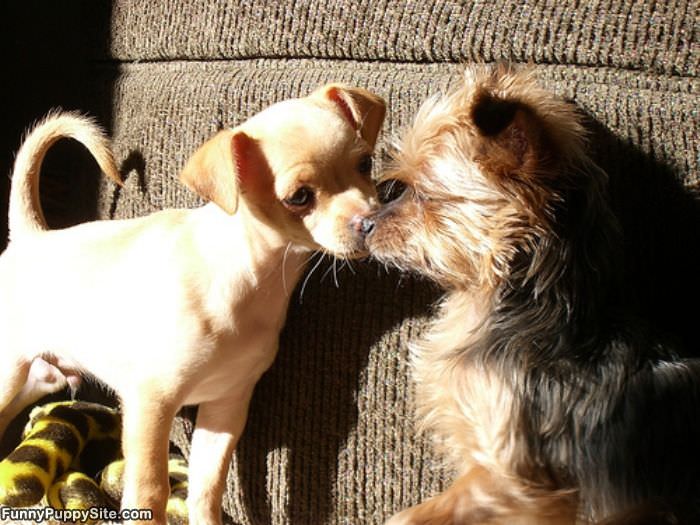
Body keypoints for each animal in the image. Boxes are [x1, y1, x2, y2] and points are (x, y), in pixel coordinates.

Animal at [0, 84, 386, 520]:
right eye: (300, 197)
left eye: (365, 163)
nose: (371, 222)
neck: (251, 278)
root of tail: (31, 237)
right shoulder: (151, 402)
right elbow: (150, 490)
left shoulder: (226, 409)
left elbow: (207, 487)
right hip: (8, 367)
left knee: (38, 382)